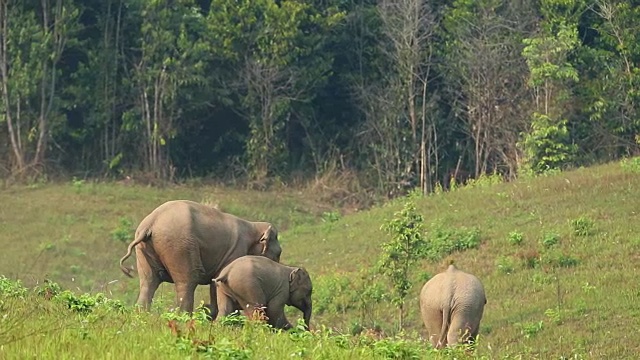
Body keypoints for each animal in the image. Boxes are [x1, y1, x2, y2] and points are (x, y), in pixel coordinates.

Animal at [118, 200, 282, 318]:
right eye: (279, 254)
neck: (252, 225)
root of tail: (150, 222)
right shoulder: (236, 252)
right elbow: (218, 282)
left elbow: (215, 282)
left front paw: (209, 313)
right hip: (179, 246)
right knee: (187, 281)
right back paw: (185, 318)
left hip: (144, 250)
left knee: (148, 282)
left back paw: (141, 316)